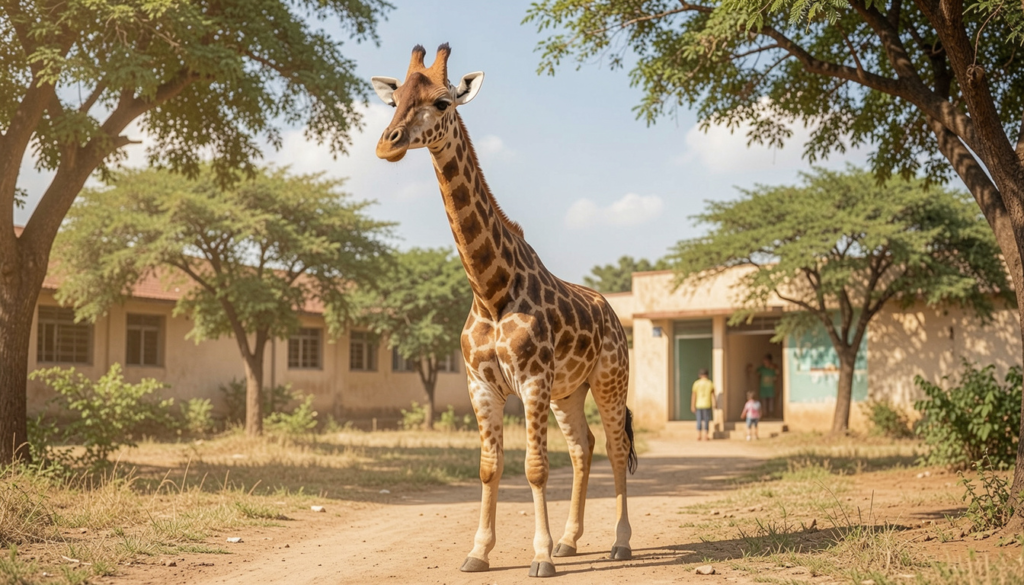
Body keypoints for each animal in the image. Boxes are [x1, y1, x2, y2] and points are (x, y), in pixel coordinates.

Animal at [371, 44, 637, 579]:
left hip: (608, 378)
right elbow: (490, 467)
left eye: (443, 103)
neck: (489, 290)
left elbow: (534, 468)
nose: (388, 145)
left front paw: (539, 557)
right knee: (584, 448)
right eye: (395, 99)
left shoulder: (531, 379)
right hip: (568, 392)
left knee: (616, 448)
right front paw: (479, 552)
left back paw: (619, 543)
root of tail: (614, 314)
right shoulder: (482, 384)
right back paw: (571, 542)